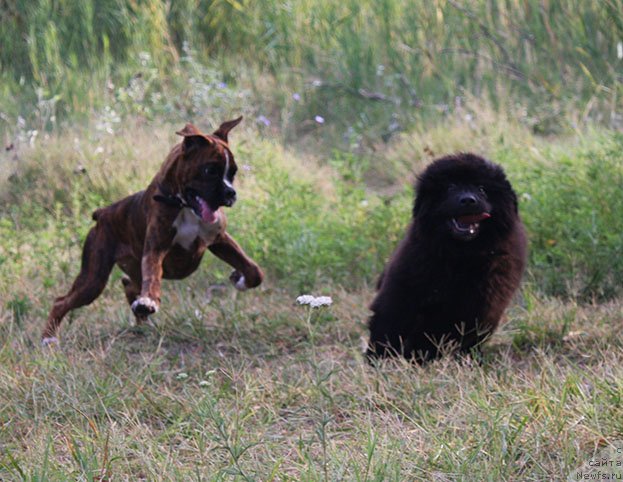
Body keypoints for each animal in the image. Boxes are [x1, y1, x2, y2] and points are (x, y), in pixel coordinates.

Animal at [42, 116, 264, 344]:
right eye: (210, 170)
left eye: (233, 173)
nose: (231, 193)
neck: (183, 205)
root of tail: (103, 213)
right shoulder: (156, 248)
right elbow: (153, 275)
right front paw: (149, 301)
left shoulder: (219, 240)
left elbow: (255, 270)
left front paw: (240, 279)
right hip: (93, 279)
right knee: (62, 301)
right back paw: (49, 338)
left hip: (125, 269)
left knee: (129, 284)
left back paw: (141, 316)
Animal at [368, 153, 528, 362]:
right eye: (450, 187)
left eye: (481, 188)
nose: (468, 200)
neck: (460, 256)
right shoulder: (402, 291)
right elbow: (390, 325)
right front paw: (381, 361)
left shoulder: (484, 299)